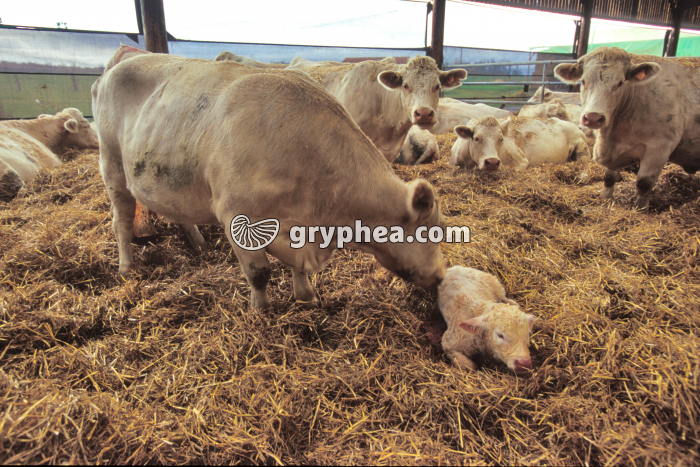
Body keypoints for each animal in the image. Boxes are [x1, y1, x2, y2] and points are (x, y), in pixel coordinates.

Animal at [92, 52, 447, 308]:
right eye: (431, 232)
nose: (442, 277)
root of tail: (115, 68)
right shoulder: (234, 214)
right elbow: (259, 272)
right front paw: (261, 309)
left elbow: (299, 269)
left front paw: (306, 297)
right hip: (112, 164)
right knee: (121, 220)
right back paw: (126, 267)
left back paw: (196, 240)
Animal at [555, 46, 700, 211]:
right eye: (584, 81)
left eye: (620, 83)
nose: (593, 117)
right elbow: (609, 177)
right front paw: (605, 198)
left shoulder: (659, 148)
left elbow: (644, 182)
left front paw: (640, 209)